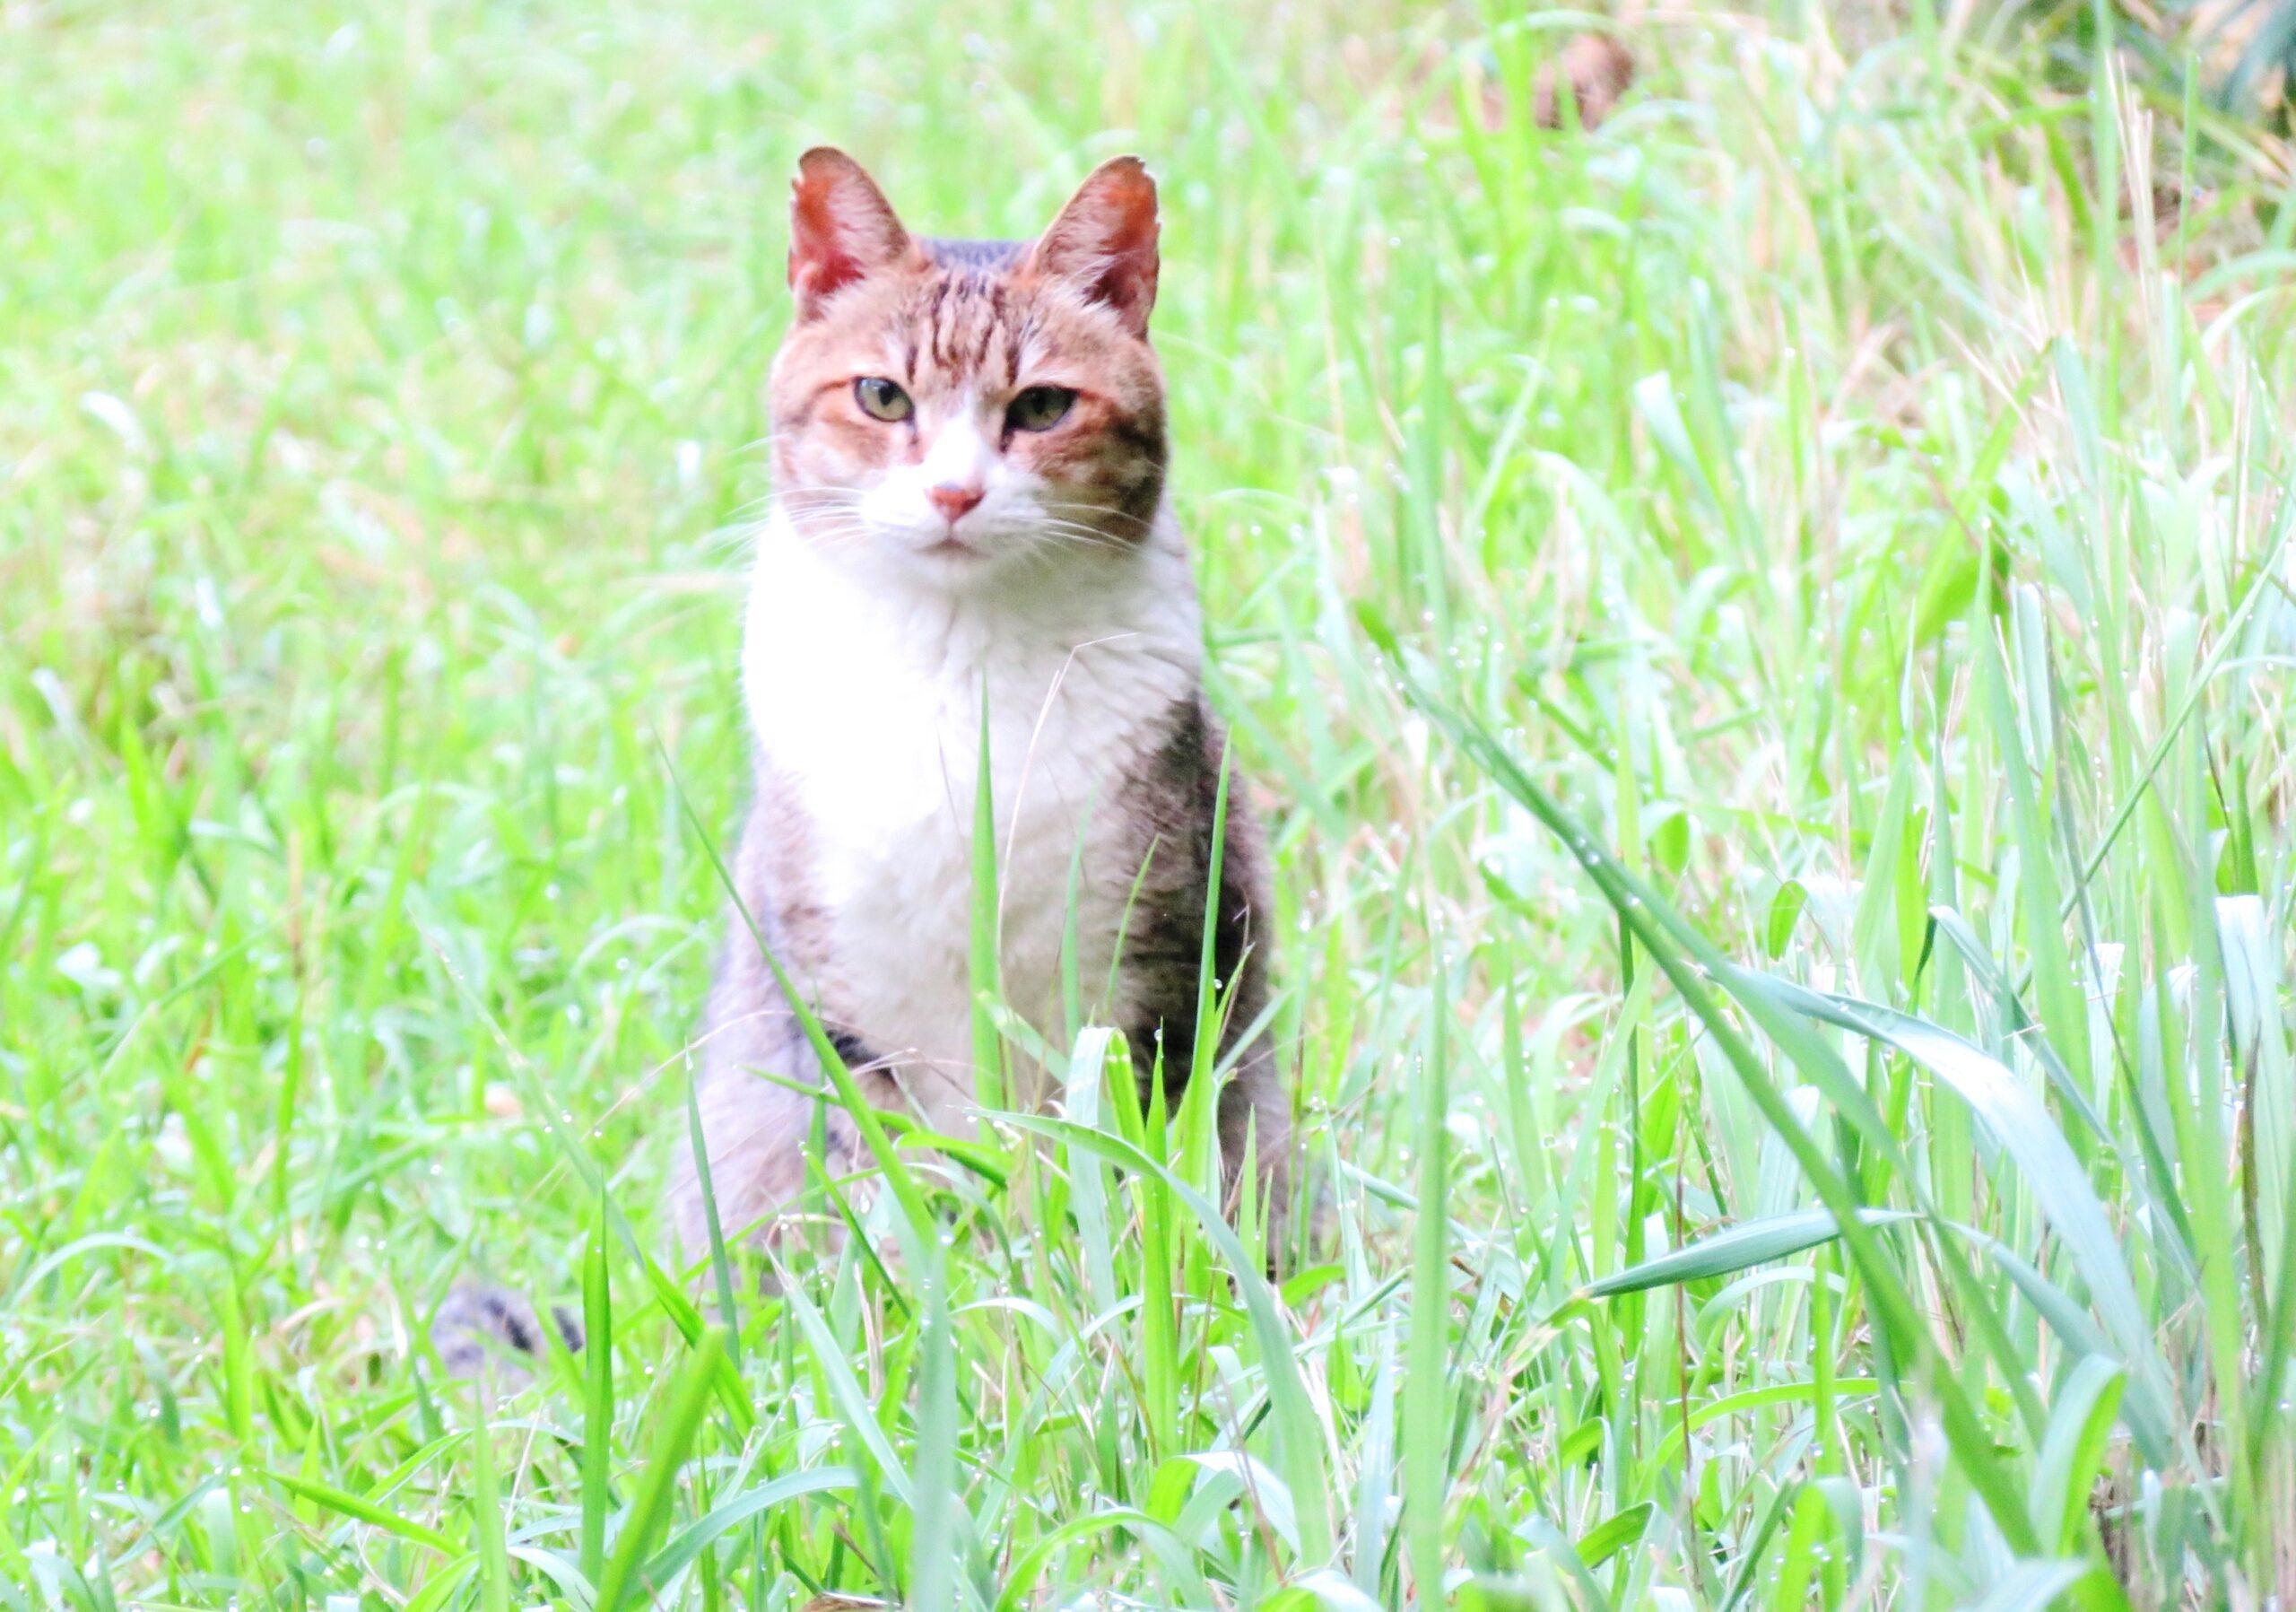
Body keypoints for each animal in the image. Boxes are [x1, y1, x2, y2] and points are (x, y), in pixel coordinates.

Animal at [665, 148, 1294, 1268]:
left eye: (1042, 407)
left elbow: (1127, 1172)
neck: (960, 673)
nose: (954, 494)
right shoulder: (842, 1005)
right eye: (881, 395)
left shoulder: (1159, 963)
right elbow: (901, 1193)